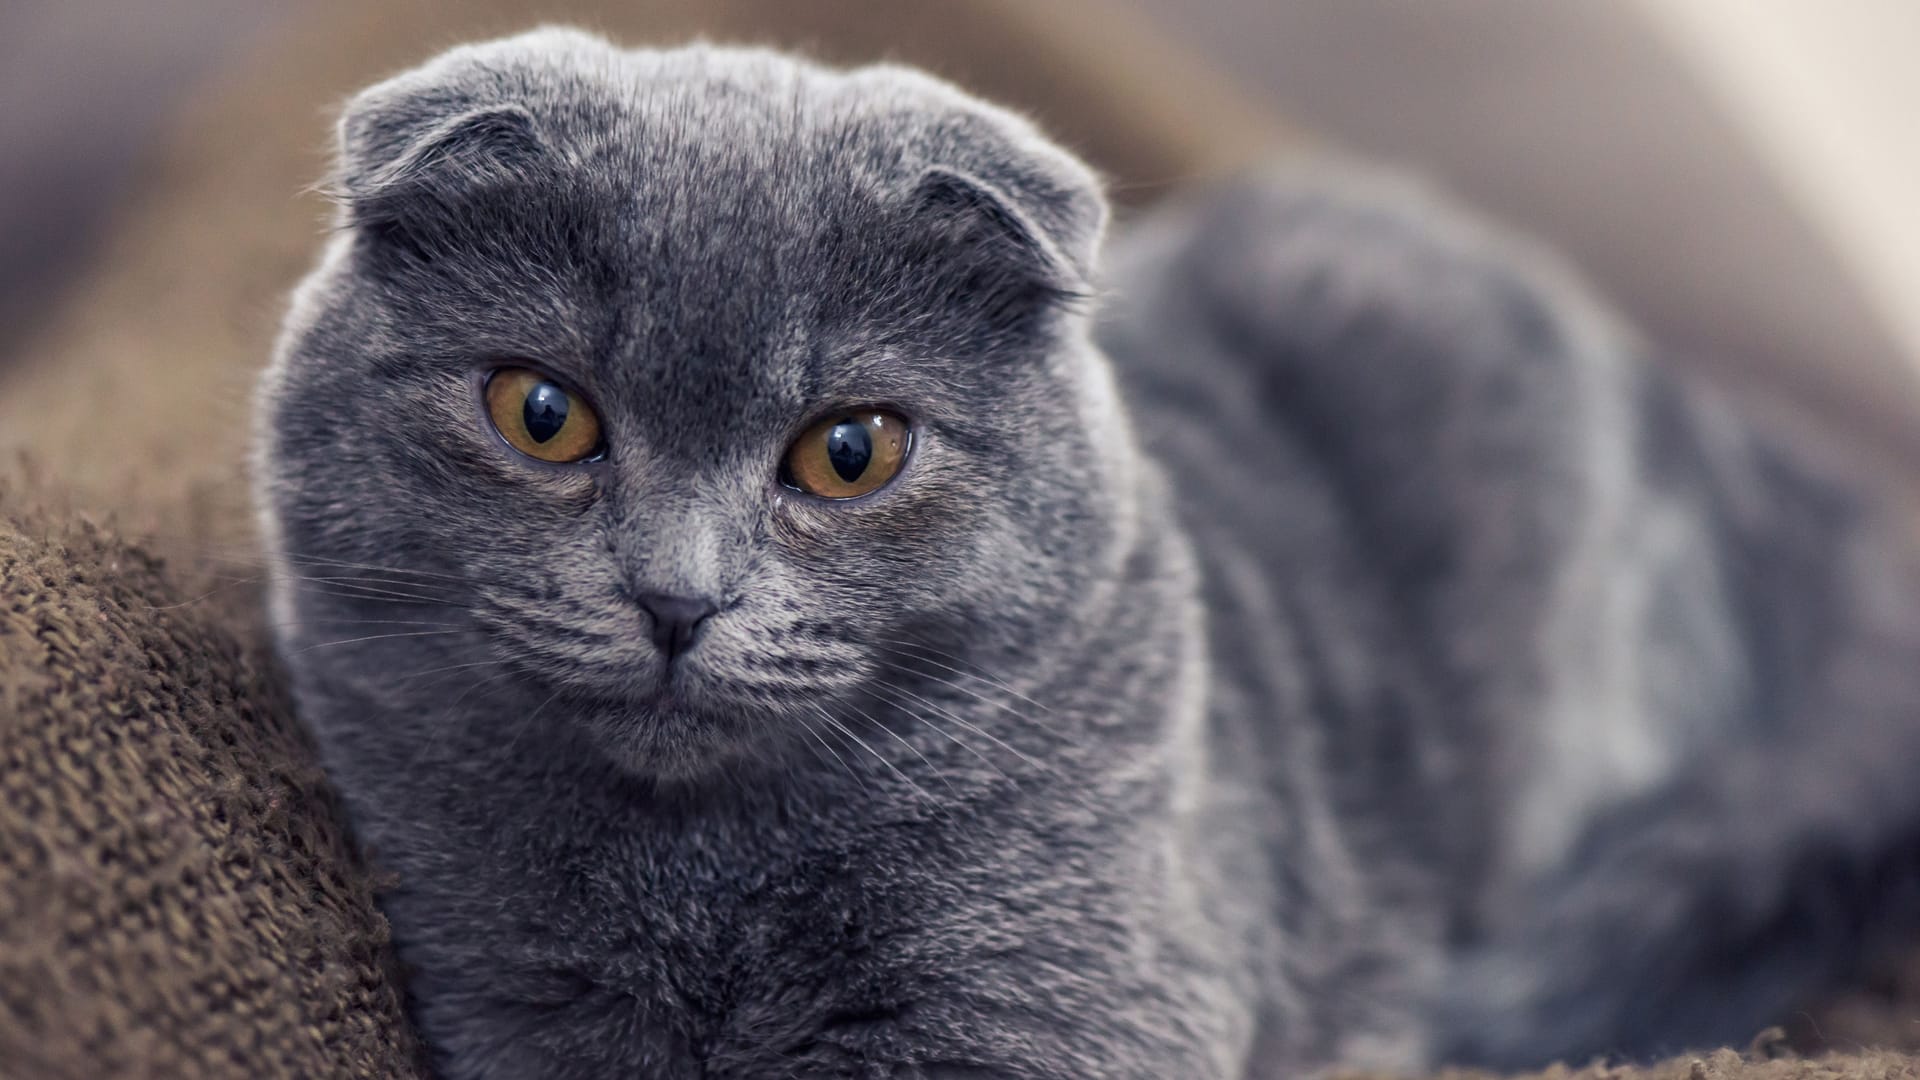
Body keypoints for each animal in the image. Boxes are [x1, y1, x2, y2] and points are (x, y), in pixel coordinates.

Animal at [251, 27, 1920, 1076]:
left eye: (849, 452)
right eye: (543, 416)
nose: (677, 595)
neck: (697, 882)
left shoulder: (1070, 1002)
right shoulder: (489, 988)